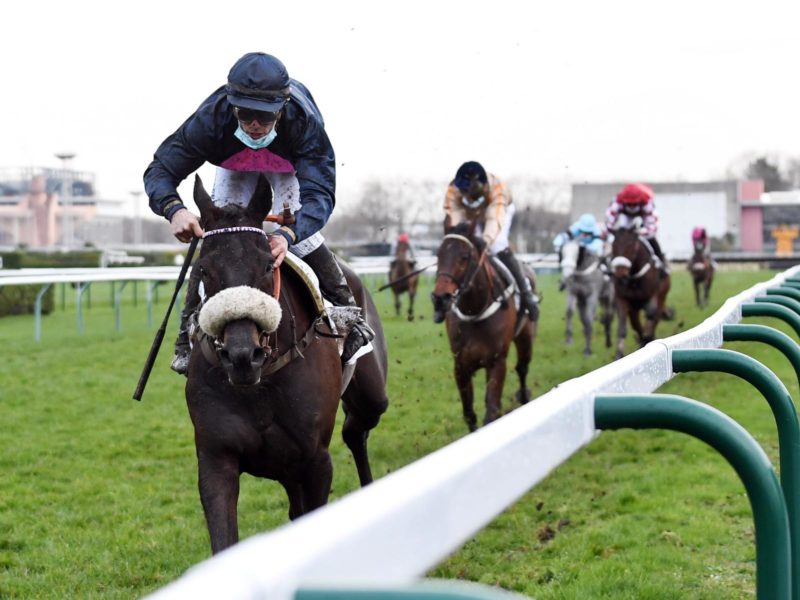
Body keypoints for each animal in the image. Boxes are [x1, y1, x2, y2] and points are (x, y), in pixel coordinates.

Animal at [186, 175, 390, 552]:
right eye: (203, 269)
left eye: (268, 265)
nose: (241, 356)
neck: (262, 382)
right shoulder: (216, 457)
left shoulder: (316, 461)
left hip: (371, 395)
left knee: (356, 430)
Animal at [432, 225, 536, 432]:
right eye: (438, 255)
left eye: (464, 256)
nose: (440, 298)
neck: (476, 311)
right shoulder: (461, 366)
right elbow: (469, 414)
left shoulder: (497, 362)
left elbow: (491, 412)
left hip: (525, 337)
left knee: (522, 368)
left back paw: (524, 397)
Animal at [608, 224, 672, 356]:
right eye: (613, 246)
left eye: (631, 245)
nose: (620, 275)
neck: (634, 279)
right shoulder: (622, 299)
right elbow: (623, 327)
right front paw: (619, 353)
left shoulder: (653, 295)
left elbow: (651, 313)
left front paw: (646, 337)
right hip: (634, 308)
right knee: (636, 323)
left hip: (662, 296)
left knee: (655, 317)